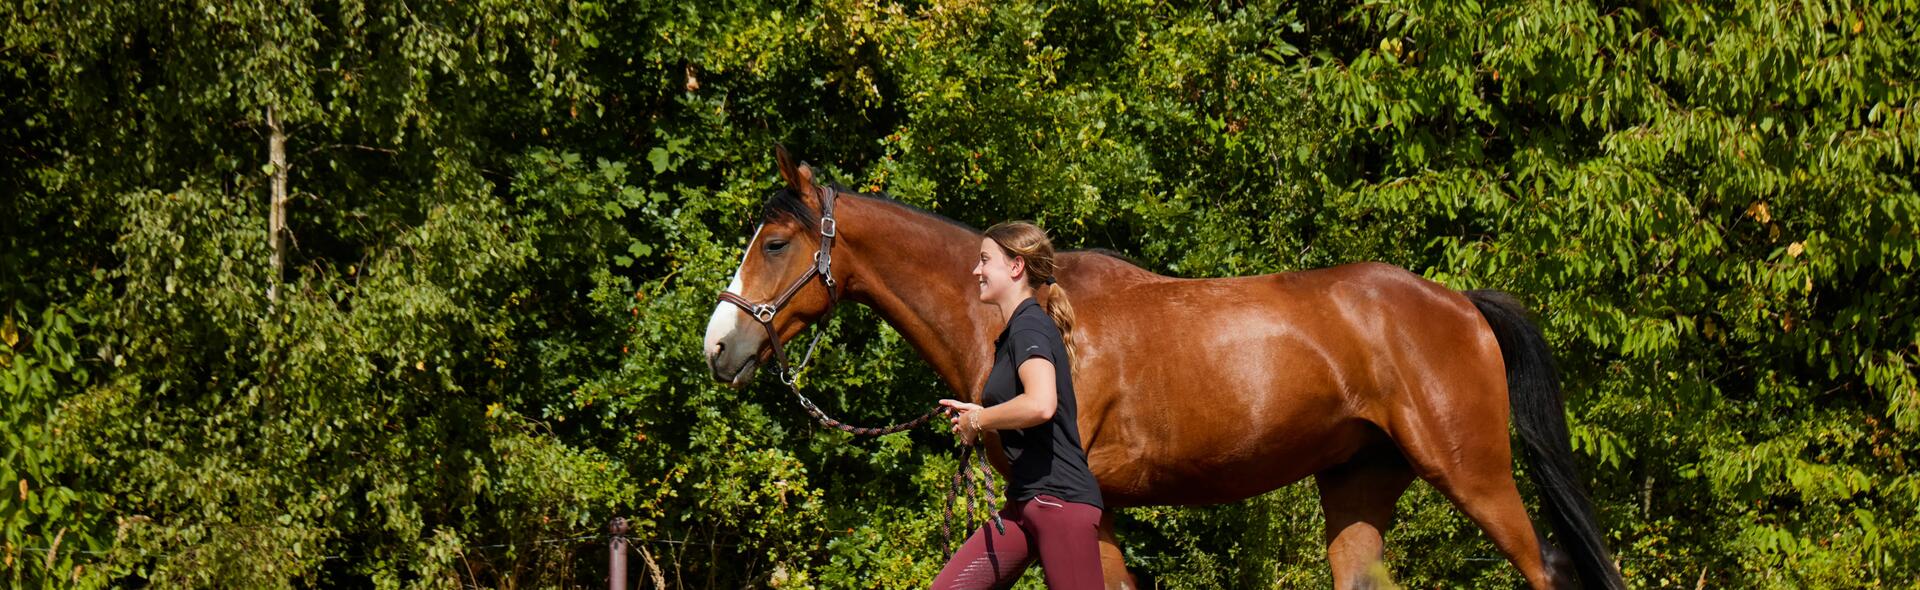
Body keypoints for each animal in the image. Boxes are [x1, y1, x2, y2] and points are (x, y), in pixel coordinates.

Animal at [698, 147, 1628, 588]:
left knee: (1550, 569)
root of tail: (1459, 303)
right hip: (1361, 482)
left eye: (774, 242)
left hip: (1473, 472)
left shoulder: (1090, 509)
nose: (718, 347)